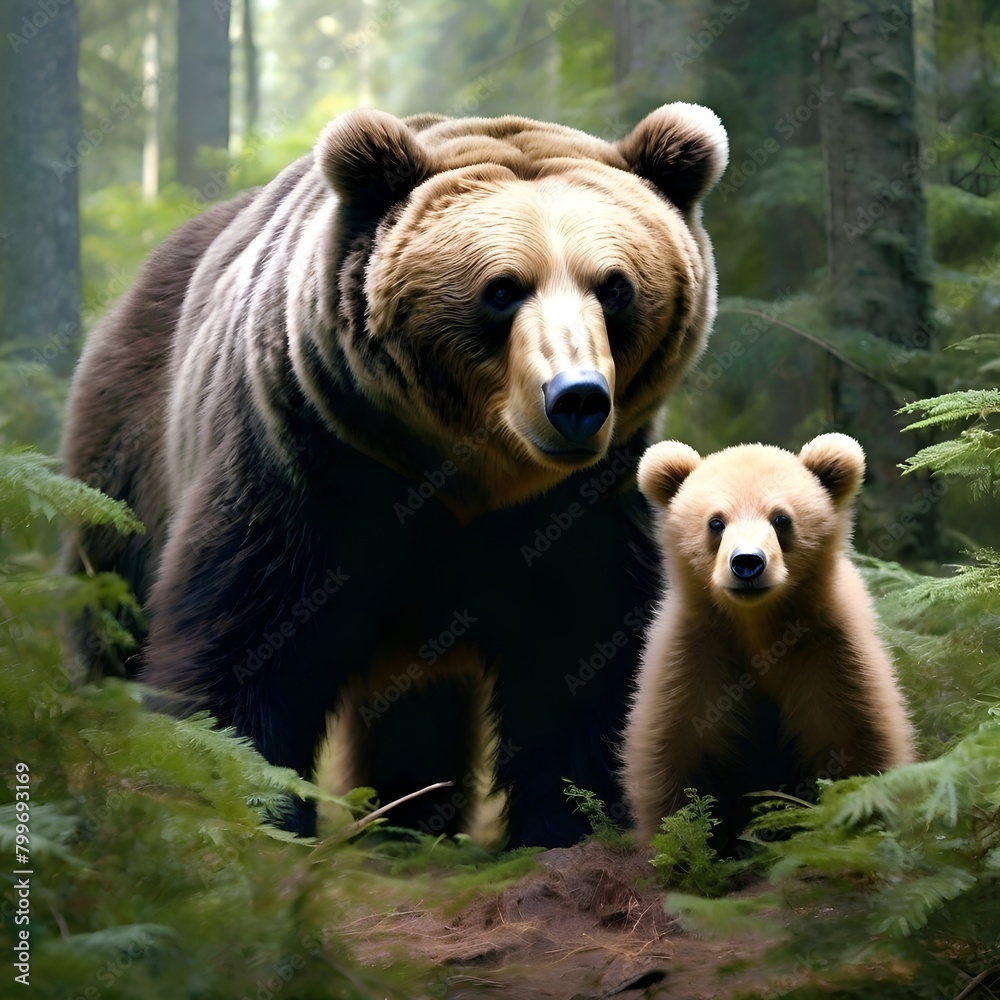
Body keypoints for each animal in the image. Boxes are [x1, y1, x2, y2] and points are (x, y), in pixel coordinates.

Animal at [62, 103, 729, 847]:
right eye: (502, 289)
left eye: (614, 287)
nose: (577, 398)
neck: (466, 475)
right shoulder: (309, 469)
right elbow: (245, 640)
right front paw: (243, 810)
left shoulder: (583, 508)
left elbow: (591, 652)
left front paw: (573, 823)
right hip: (129, 455)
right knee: (110, 608)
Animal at [620, 434, 916, 849]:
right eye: (716, 521)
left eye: (781, 519)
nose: (747, 562)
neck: (758, 626)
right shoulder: (698, 655)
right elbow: (677, 748)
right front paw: (683, 843)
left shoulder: (828, 652)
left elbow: (856, 741)